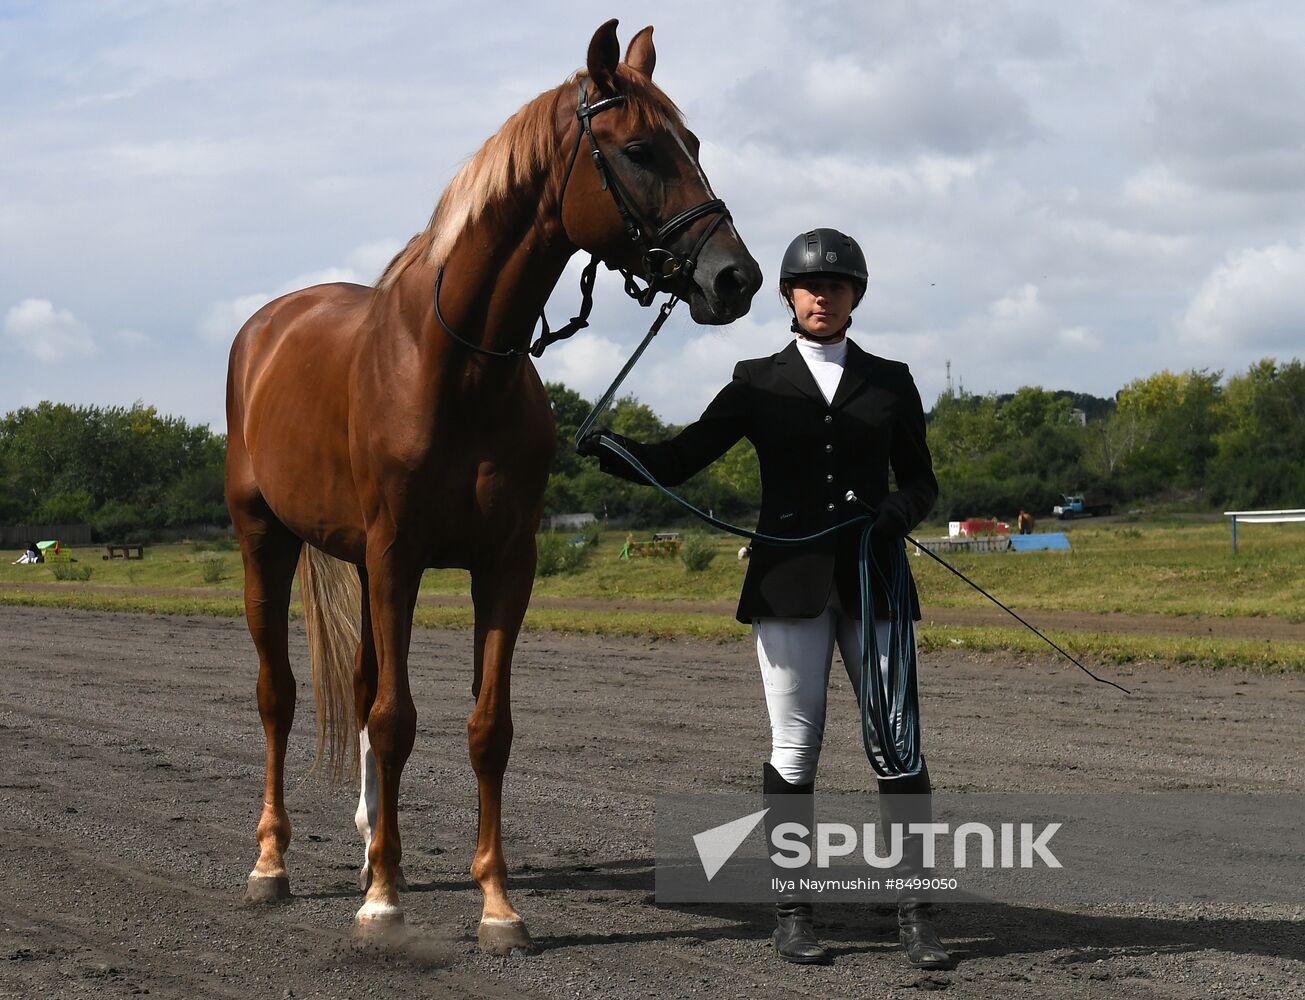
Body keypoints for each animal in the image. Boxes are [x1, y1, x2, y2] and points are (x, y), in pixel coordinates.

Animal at [221, 17, 756, 955]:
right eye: (641, 149)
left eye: (693, 145)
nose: (735, 276)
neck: (458, 366)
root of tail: (267, 326)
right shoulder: (398, 558)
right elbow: (395, 720)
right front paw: (383, 904)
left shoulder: (502, 565)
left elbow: (486, 727)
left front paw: (496, 904)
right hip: (268, 541)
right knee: (278, 696)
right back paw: (274, 863)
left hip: (355, 562)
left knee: (357, 686)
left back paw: (372, 849)